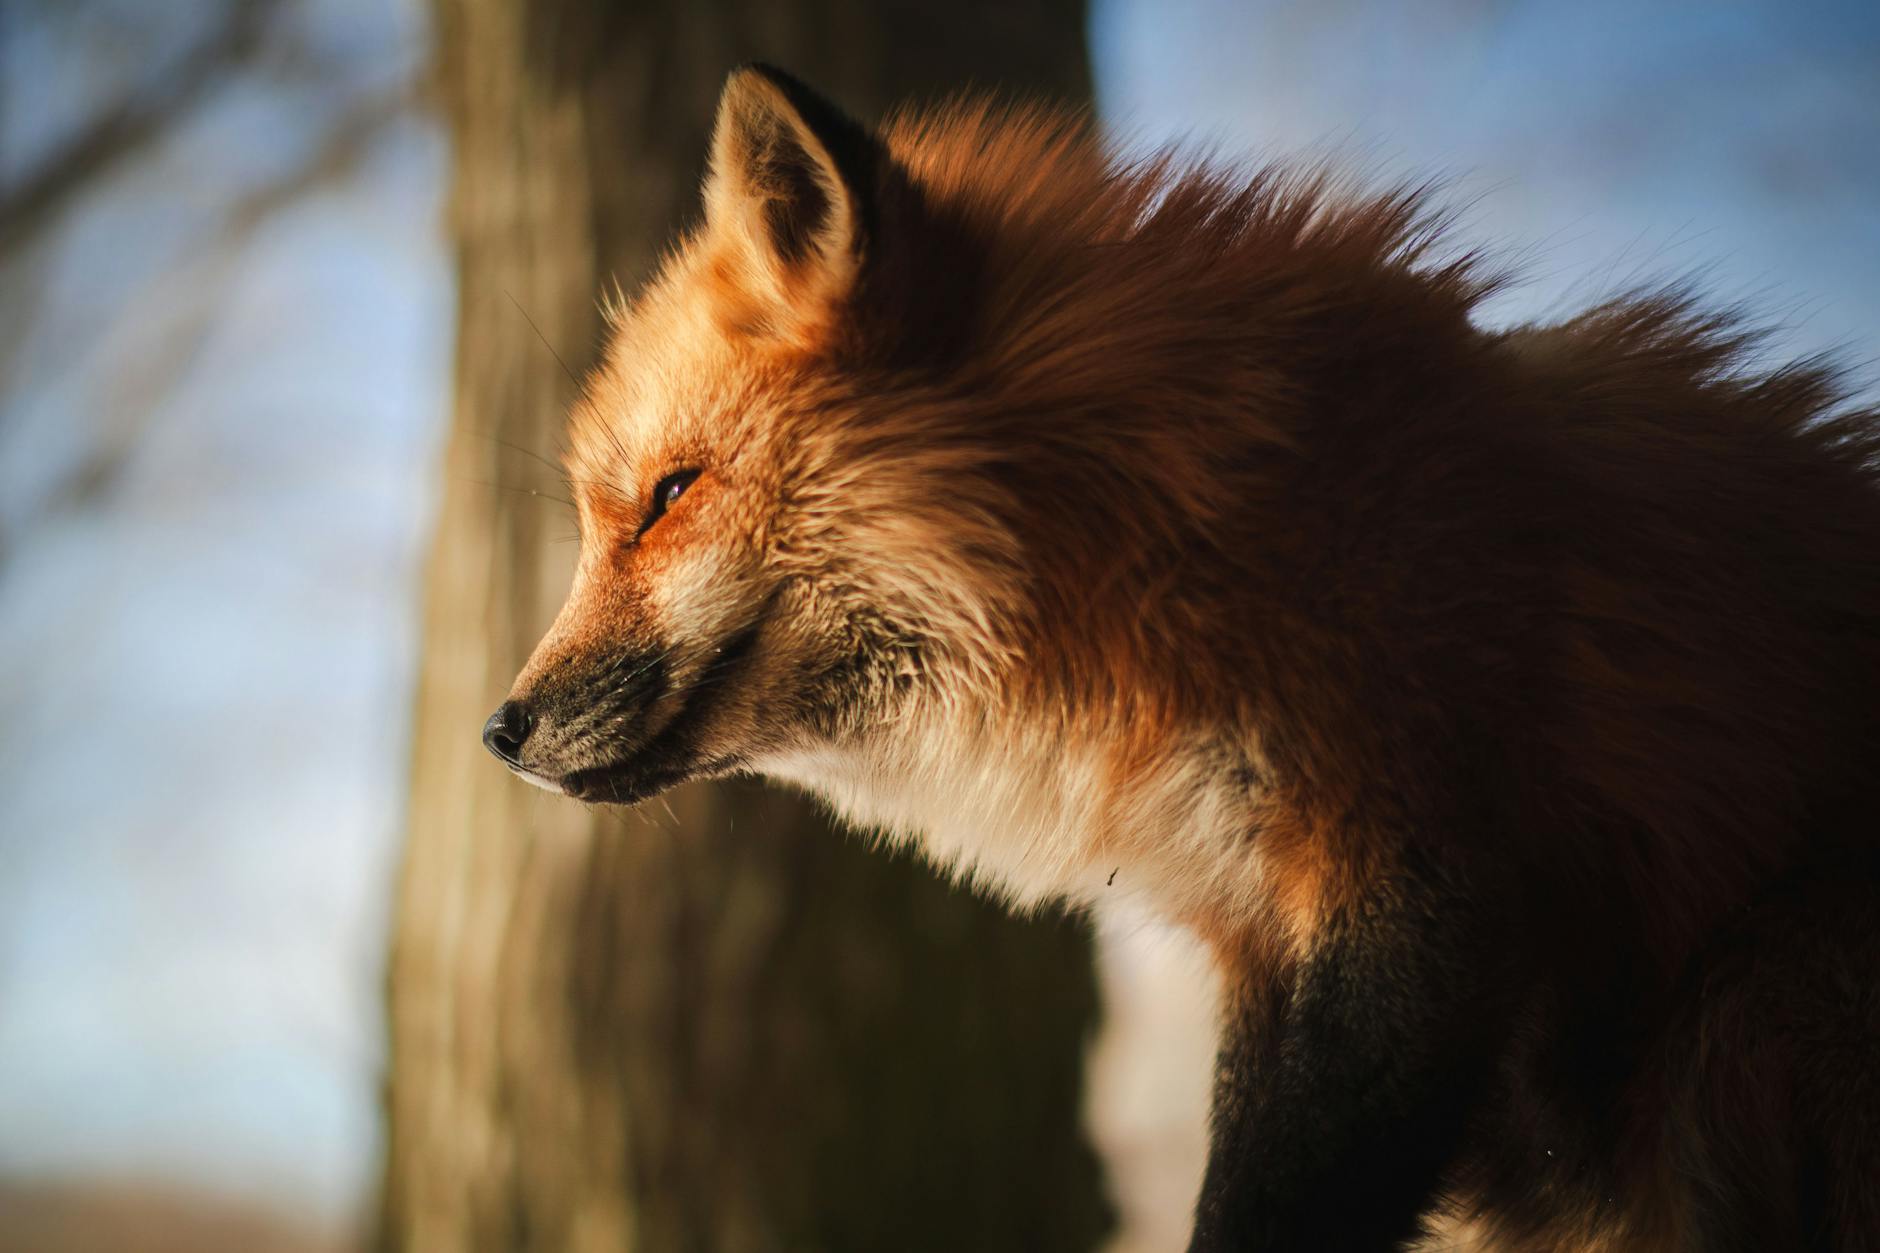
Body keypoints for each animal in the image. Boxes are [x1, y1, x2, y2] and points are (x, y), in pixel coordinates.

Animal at [480, 64, 1880, 1251]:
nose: (499, 730)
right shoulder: (1271, 944)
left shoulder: (1418, 876)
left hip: (1757, 1004)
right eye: (604, 515)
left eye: (667, 497)